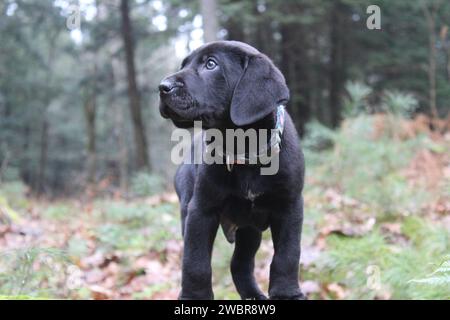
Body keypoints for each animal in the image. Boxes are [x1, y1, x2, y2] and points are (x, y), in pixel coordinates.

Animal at [159, 40, 306, 300]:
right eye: (183, 65)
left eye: (211, 64)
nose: (162, 87)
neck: (243, 148)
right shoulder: (200, 210)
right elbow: (195, 262)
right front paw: (194, 298)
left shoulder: (290, 206)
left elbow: (287, 256)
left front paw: (287, 294)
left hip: (250, 229)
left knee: (240, 264)